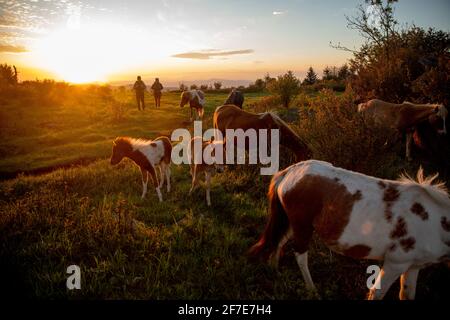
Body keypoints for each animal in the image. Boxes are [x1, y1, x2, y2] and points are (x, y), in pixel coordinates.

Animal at [250, 160, 450, 300]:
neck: (434, 220)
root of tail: (289, 172)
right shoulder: (396, 262)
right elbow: (376, 293)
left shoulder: (413, 265)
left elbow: (406, 295)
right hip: (302, 226)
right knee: (299, 255)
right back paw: (312, 290)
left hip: (293, 223)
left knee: (279, 241)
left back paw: (275, 270)